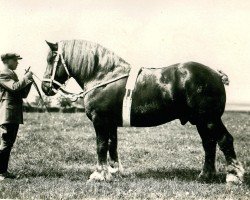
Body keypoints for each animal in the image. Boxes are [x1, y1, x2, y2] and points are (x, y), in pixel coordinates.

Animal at [41, 39, 244, 184]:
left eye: (51, 59)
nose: (45, 87)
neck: (104, 76)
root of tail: (216, 74)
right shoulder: (111, 123)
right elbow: (112, 146)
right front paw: (114, 171)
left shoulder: (100, 121)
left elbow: (101, 146)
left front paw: (99, 175)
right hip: (201, 121)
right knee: (209, 144)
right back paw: (205, 175)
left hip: (210, 119)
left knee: (224, 140)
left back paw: (234, 176)